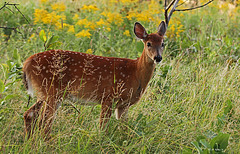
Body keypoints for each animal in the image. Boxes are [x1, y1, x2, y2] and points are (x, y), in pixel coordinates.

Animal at [22, 0, 213, 140]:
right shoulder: (108, 97)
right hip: (52, 91)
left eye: (163, 43)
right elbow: (102, 129)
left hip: (46, 93)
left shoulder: (123, 105)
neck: (135, 73)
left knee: (29, 114)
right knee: (44, 122)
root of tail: (26, 63)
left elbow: (124, 128)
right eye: (148, 43)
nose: (158, 58)